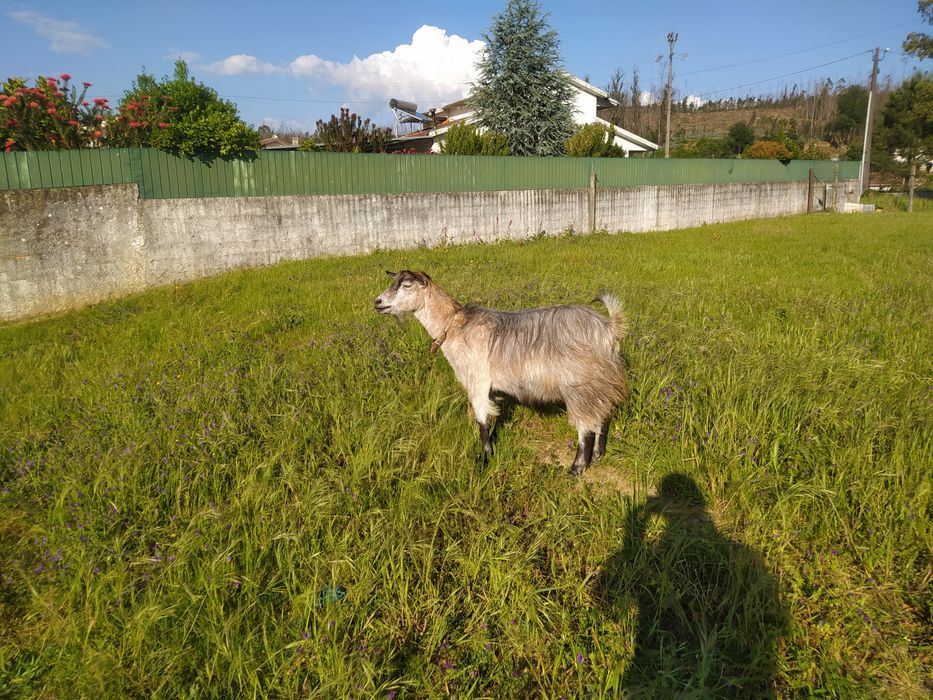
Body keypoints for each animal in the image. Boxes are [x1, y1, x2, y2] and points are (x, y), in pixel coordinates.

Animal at [375, 270, 629, 474]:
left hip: (579, 384)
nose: (378, 302)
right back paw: (598, 455)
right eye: (393, 282)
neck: (454, 326)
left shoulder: (478, 381)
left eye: (406, 285)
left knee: (586, 424)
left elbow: (482, 419)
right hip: (600, 382)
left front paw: (485, 456)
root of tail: (609, 329)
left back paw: (576, 468)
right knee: (603, 415)